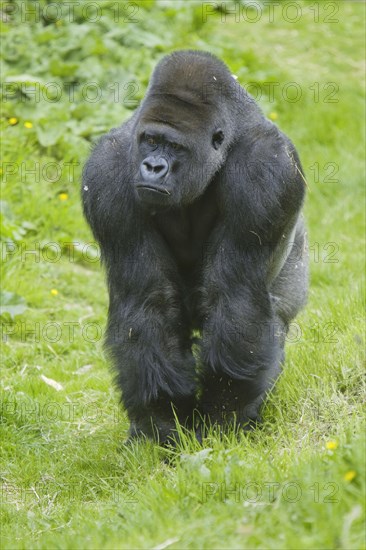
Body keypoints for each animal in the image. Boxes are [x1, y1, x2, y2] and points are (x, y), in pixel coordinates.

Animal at [81, 49, 308, 446]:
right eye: (150, 140)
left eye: (175, 147)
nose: (153, 166)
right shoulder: (106, 174)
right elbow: (150, 300)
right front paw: (161, 421)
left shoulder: (268, 169)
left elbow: (234, 296)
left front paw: (223, 419)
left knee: (274, 316)